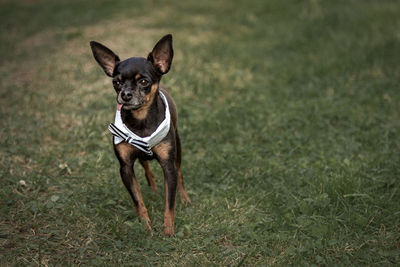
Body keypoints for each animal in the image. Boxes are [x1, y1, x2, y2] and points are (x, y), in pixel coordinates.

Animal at [90, 34, 191, 237]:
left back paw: (185, 199)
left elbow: (170, 202)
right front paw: (145, 225)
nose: (125, 94)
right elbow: (137, 200)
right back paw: (153, 189)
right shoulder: (126, 168)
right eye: (116, 82)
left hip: (177, 148)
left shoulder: (168, 166)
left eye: (144, 82)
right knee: (146, 166)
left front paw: (168, 229)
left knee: (180, 173)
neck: (141, 119)